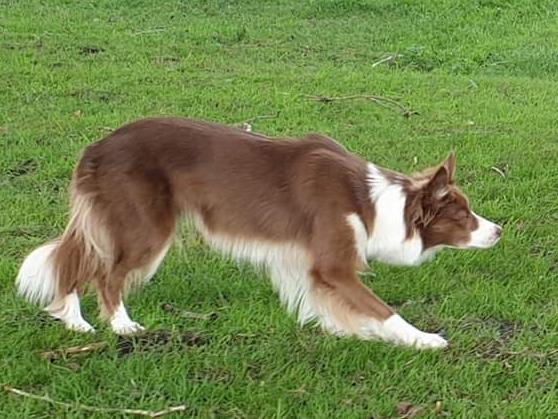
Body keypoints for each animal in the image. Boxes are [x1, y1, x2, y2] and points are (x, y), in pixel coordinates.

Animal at [16, 118, 502, 349]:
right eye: (463, 215)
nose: (498, 230)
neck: (374, 205)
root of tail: (97, 145)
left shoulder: (304, 263)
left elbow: (331, 305)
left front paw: (347, 332)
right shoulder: (333, 265)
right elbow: (382, 309)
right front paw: (424, 340)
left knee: (76, 264)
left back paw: (73, 321)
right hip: (146, 229)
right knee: (106, 274)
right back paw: (120, 326)